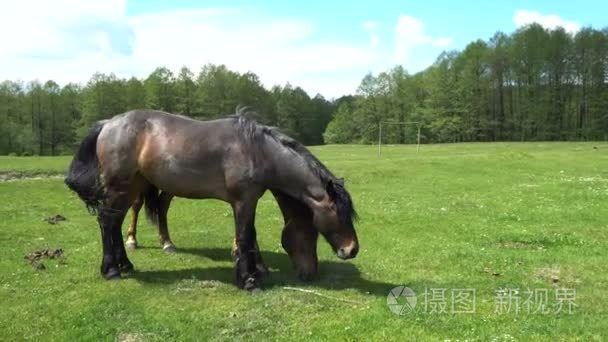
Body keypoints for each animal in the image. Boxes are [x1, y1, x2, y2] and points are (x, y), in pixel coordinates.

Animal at [64, 109, 358, 292]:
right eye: (337, 214)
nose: (352, 249)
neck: (257, 151)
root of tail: (107, 123)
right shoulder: (243, 201)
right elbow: (245, 236)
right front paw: (249, 281)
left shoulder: (247, 201)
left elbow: (249, 236)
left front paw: (255, 272)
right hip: (119, 187)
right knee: (107, 222)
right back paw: (111, 270)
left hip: (131, 188)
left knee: (115, 222)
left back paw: (125, 264)